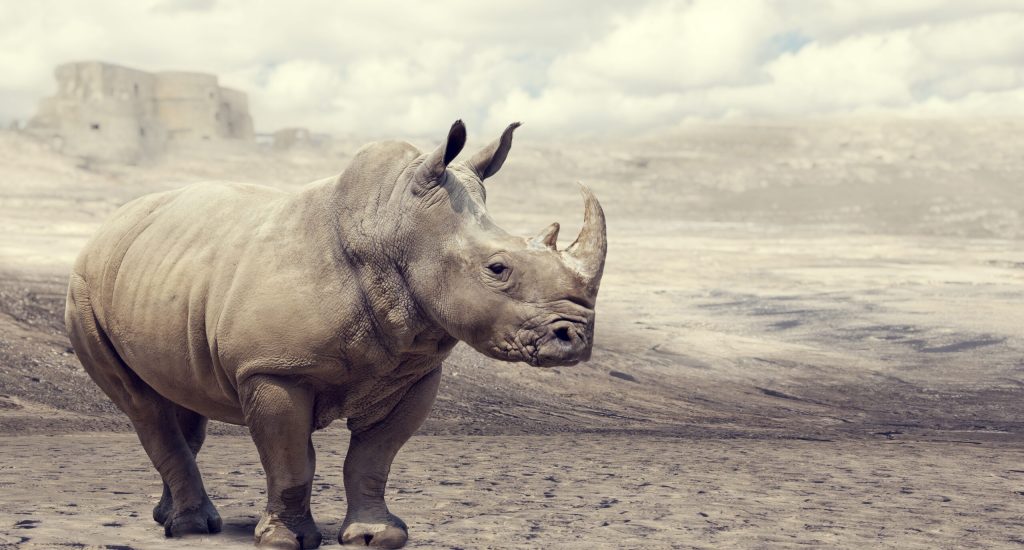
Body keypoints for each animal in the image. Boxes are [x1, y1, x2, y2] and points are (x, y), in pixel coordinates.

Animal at [64, 120, 606, 548]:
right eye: (498, 268)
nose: (573, 338)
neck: (394, 227)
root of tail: (108, 226)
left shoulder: (413, 373)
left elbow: (372, 456)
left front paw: (377, 536)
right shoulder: (273, 368)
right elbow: (290, 460)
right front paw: (285, 540)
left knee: (178, 397)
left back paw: (169, 519)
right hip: (83, 288)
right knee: (142, 404)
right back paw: (193, 528)